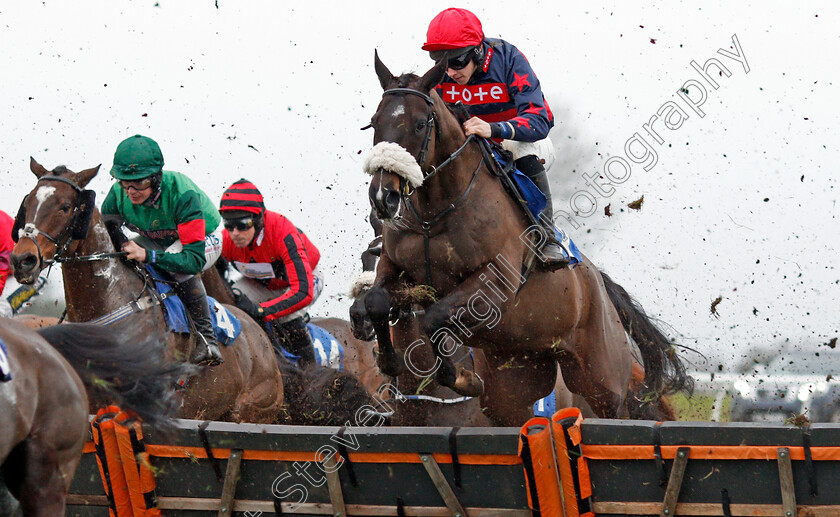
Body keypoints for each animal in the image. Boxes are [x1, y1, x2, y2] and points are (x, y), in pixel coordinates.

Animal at [360, 53, 688, 424]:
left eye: (418, 124)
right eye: (374, 122)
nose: (383, 197)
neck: (436, 213)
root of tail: (597, 281)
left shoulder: (494, 283)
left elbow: (435, 316)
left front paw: (461, 377)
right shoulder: (396, 267)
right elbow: (377, 300)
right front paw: (388, 360)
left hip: (601, 378)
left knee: (615, 411)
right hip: (515, 383)